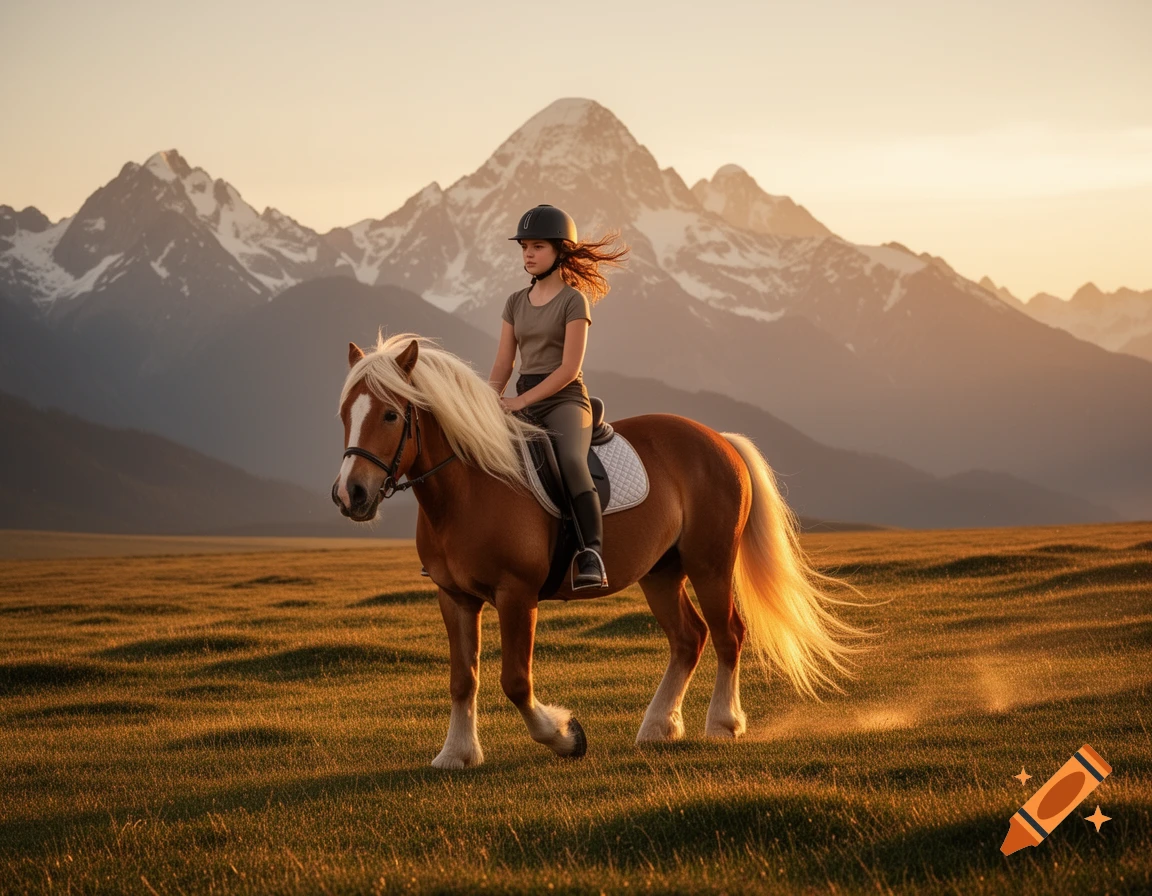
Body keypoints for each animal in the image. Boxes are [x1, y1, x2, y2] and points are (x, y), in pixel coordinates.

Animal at [332, 332, 866, 768]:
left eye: (390, 414)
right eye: (344, 415)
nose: (351, 494)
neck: (469, 486)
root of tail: (720, 441)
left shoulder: (516, 595)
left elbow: (515, 681)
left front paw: (565, 736)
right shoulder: (454, 597)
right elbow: (463, 679)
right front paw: (456, 754)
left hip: (711, 564)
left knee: (728, 633)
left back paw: (722, 724)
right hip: (662, 573)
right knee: (688, 638)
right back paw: (658, 727)